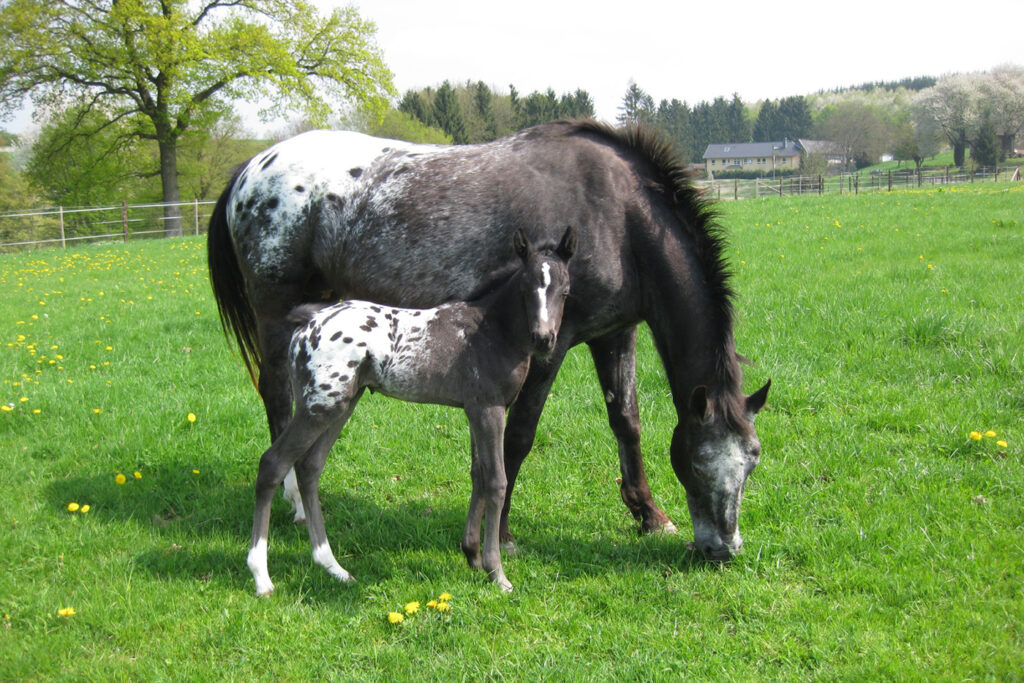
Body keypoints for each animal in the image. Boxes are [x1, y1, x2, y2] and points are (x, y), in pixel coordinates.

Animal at [243, 227, 573, 593]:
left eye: (566, 290)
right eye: (527, 288)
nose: (544, 339)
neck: (490, 332)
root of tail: (310, 321)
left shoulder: (475, 409)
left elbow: (478, 474)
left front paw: (472, 556)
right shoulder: (490, 409)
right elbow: (496, 482)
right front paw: (496, 572)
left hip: (340, 404)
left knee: (309, 467)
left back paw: (333, 567)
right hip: (320, 405)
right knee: (273, 463)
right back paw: (261, 576)